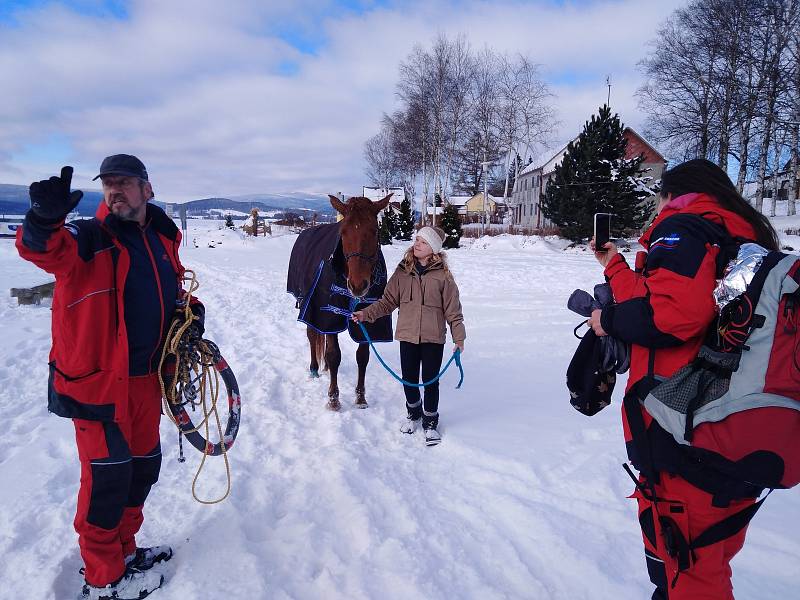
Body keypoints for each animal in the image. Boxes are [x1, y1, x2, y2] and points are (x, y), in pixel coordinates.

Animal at [288, 195, 394, 410]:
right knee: (312, 336)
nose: (358, 285)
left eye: (374, 230)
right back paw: (314, 369)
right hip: (310, 307)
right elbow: (334, 354)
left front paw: (360, 397)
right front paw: (333, 399)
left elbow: (362, 357)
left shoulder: (365, 320)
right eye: (343, 232)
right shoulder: (327, 315)